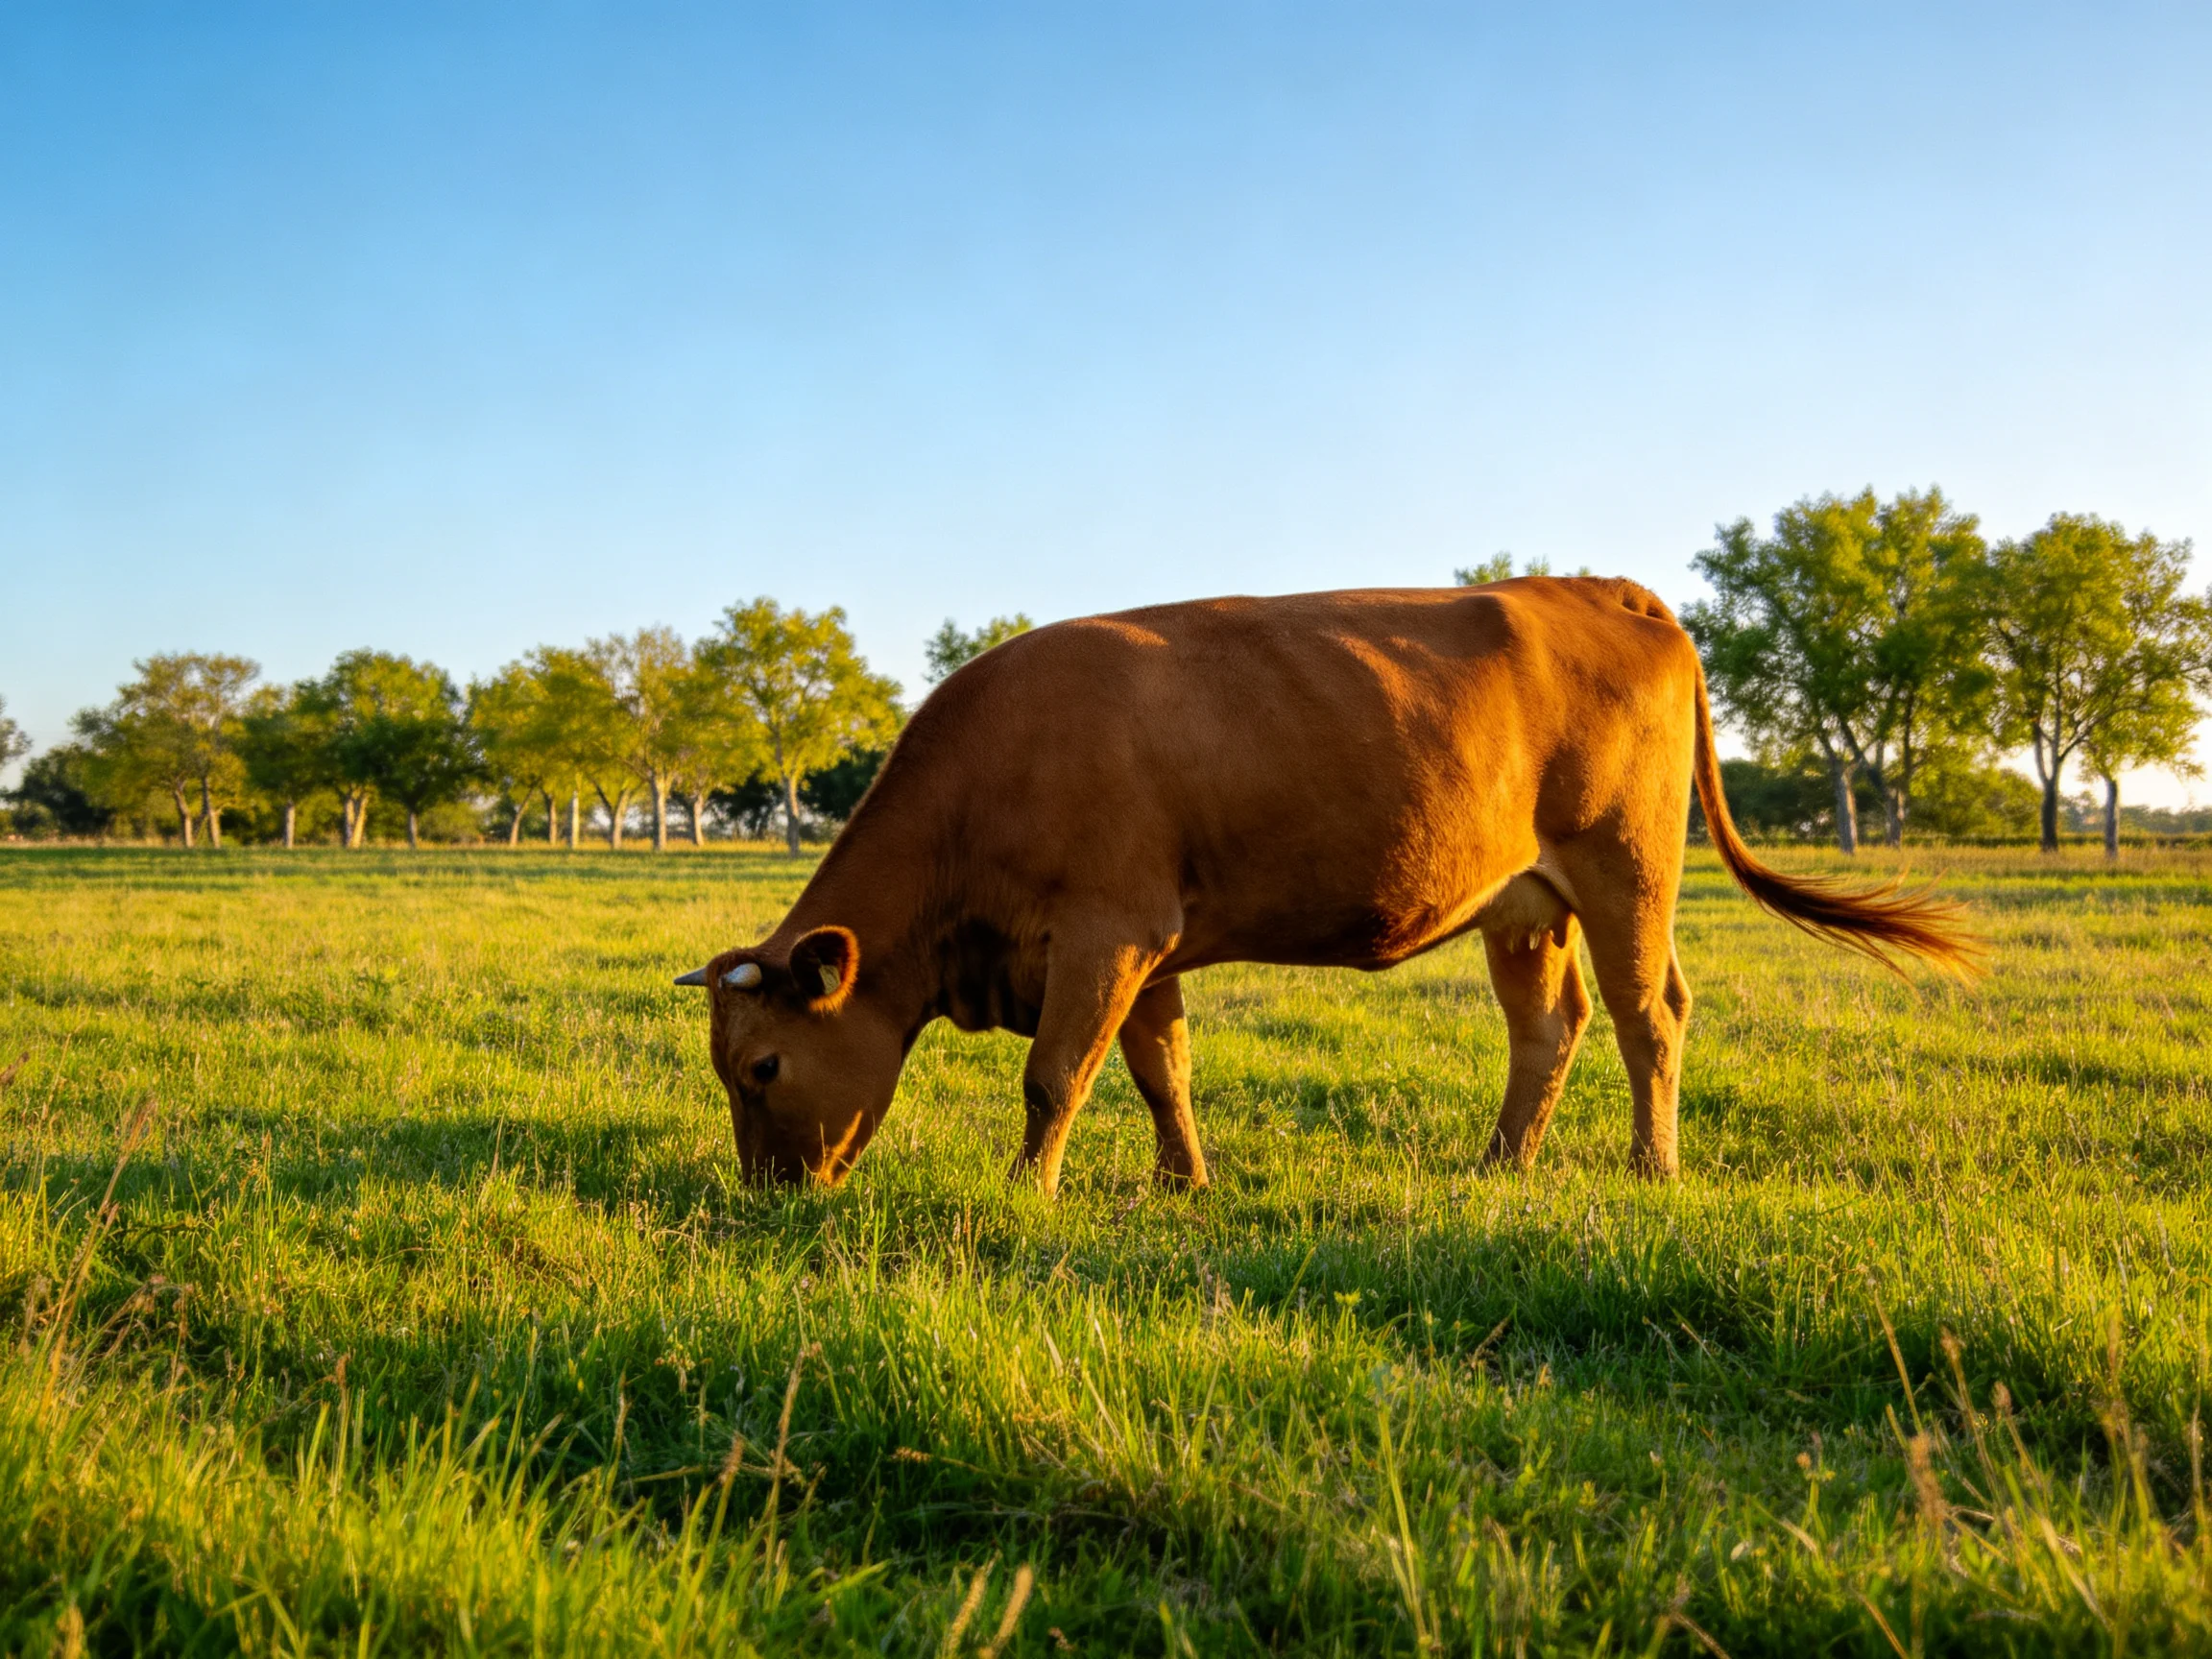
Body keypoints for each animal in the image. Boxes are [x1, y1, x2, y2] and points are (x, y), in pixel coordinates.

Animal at [676, 578, 1976, 1193]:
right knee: (1550, 1024)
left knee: (1650, 1014)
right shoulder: (1147, 947)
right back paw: (1501, 1164)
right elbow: (1159, 1071)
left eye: (764, 1067)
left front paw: (1023, 1192)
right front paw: (1184, 1183)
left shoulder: (1104, 933)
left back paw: (1651, 1168)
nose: (771, 1196)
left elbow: (1057, 1077)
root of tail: (1598, 586)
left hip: (1628, 867)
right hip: (1526, 901)